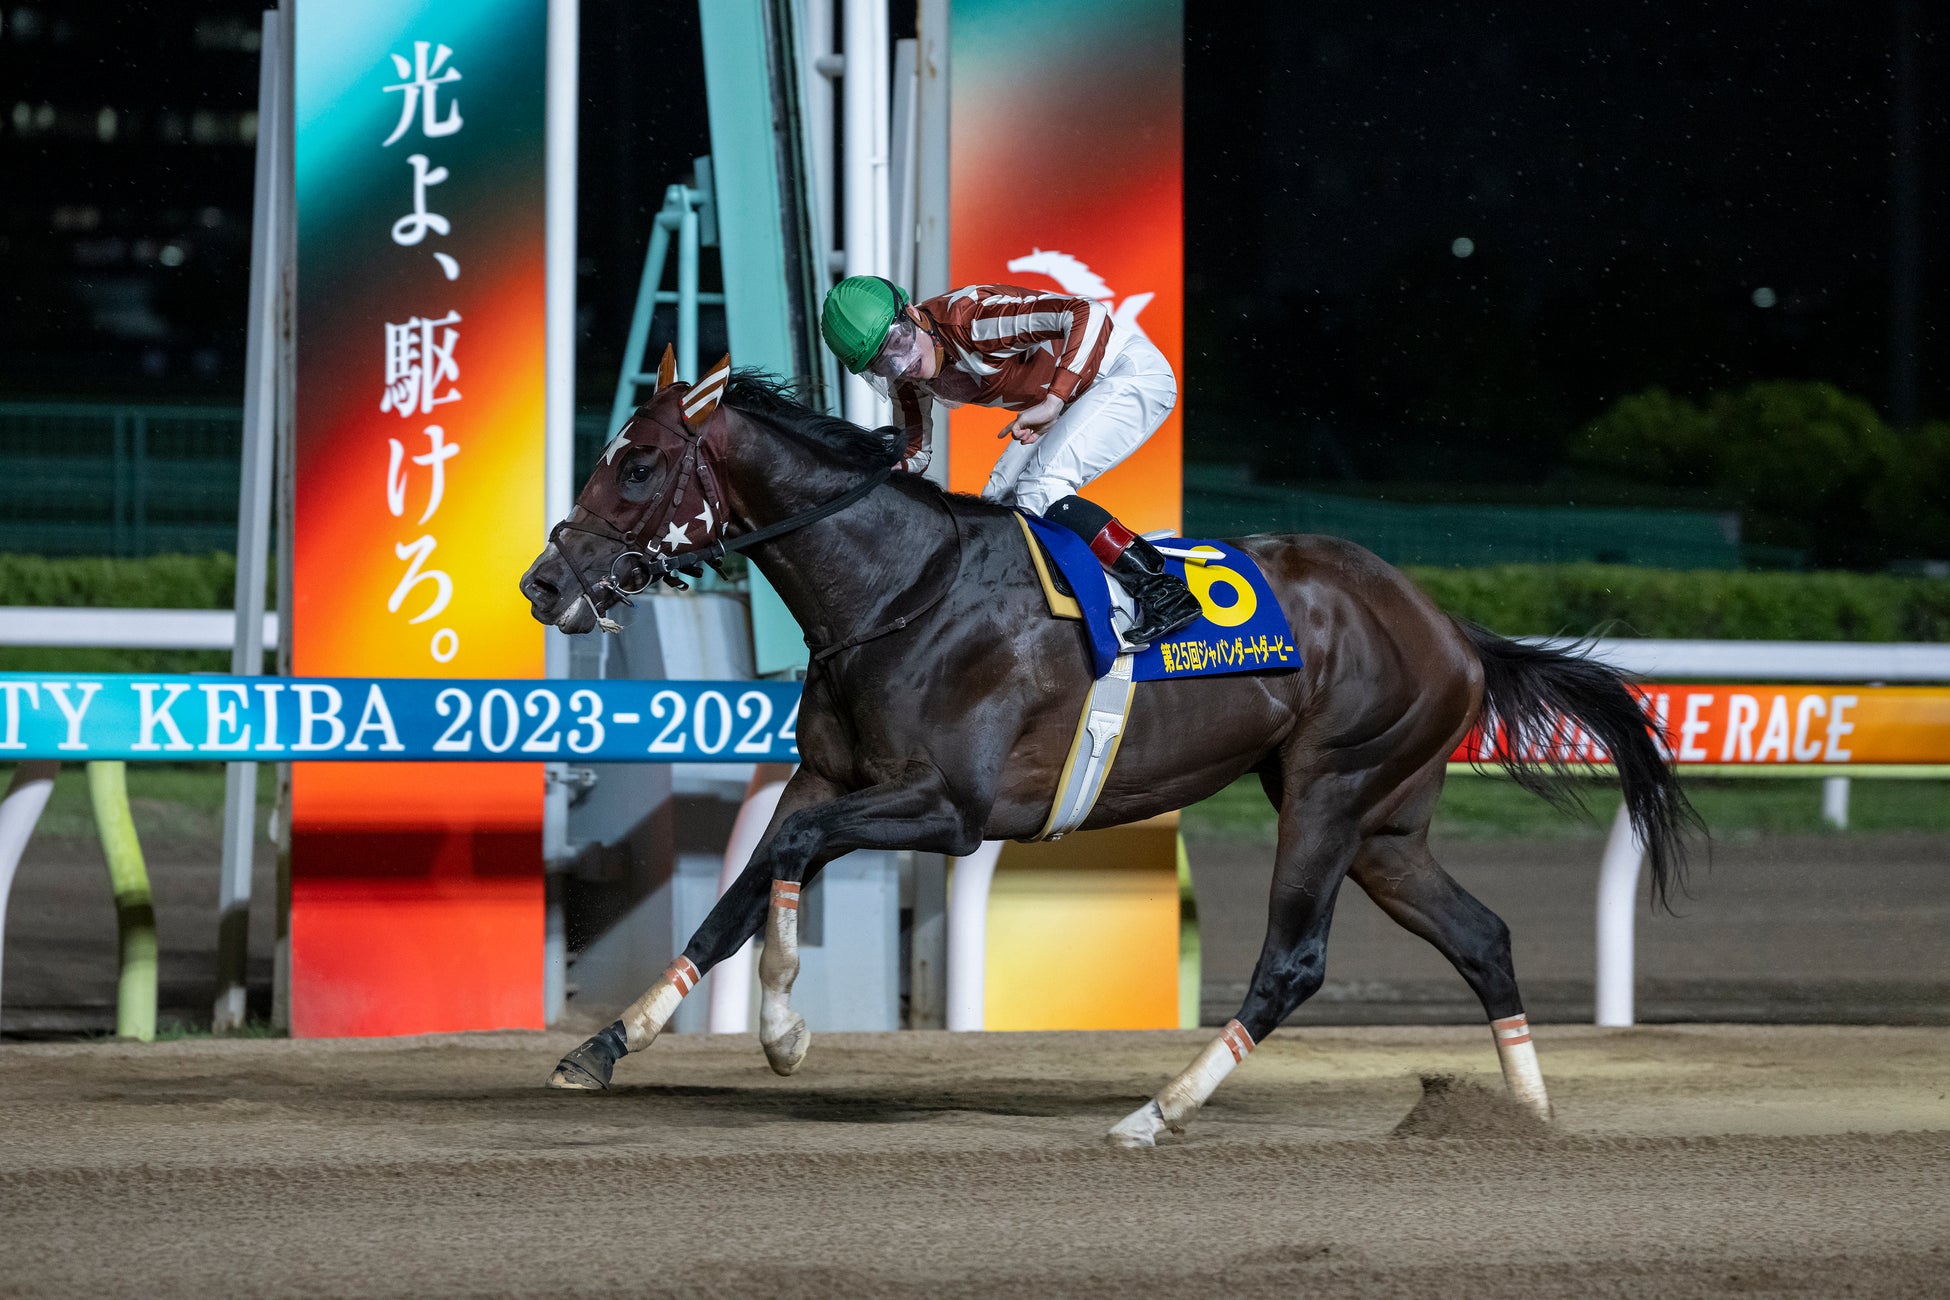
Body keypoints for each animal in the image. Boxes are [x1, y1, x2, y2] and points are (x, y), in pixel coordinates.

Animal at [518, 361, 1692, 1146]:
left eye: (639, 464)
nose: (542, 583)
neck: (898, 591)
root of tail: (1450, 626)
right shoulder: (828, 776)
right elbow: (740, 891)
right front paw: (606, 1044)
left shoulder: (948, 807)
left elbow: (793, 861)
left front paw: (782, 1033)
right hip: (1385, 823)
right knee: (1482, 935)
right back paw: (1529, 1112)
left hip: (1333, 787)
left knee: (1294, 961)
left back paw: (1157, 1109)